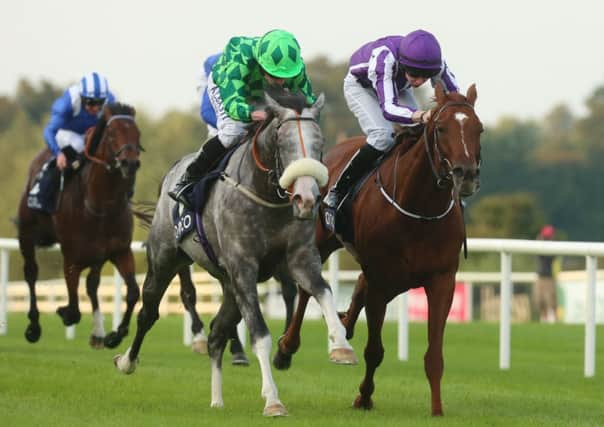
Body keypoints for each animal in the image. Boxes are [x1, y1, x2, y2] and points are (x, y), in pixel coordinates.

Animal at [17, 104, 143, 352]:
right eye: (112, 133)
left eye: (137, 133)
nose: (130, 163)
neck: (100, 205)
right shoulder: (72, 258)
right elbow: (74, 309)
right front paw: (63, 311)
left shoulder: (120, 251)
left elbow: (133, 292)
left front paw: (115, 335)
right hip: (26, 234)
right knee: (31, 273)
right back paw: (34, 326)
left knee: (92, 284)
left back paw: (98, 333)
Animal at [115, 91, 356, 418]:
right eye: (282, 141)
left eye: (320, 142)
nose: (306, 199)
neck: (266, 197)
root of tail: (172, 170)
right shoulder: (244, 268)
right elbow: (260, 335)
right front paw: (272, 400)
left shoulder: (300, 259)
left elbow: (324, 292)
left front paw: (341, 346)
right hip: (166, 260)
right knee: (148, 312)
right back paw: (126, 360)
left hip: (229, 285)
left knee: (217, 332)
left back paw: (217, 399)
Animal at [276, 83, 484, 414]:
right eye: (440, 128)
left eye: (480, 129)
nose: (466, 175)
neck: (419, 209)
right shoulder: (381, 280)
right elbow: (374, 350)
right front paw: (364, 397)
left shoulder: (442, 280)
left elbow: (434, 355)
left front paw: (437, 409)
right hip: (322, 240)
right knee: (308, 287)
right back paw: (286, 347)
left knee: (355, 285)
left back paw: (343, 324)